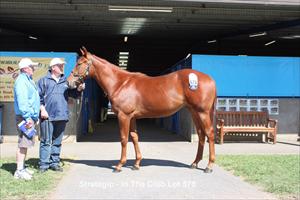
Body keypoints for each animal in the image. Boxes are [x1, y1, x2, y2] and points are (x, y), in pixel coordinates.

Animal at [67, 47, 217, 173]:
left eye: (79, 63)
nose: (69, 82)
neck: (120, 83)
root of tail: (209, 79)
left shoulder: (124, 116)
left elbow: (123, 139)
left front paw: (119, 165)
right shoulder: (132, 117)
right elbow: (134, 137)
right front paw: (136, 164)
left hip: (202, 112)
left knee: (209, 133)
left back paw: (209, 166)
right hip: (194, 112)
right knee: (201, 134)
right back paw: (195, 163)